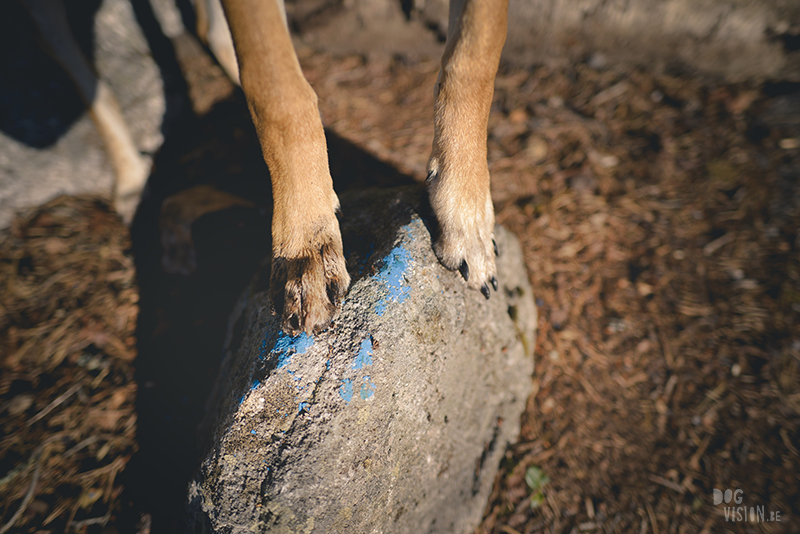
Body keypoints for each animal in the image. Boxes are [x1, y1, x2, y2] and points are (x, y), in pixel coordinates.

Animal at [23, 0, 506, 336]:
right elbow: (278, 91)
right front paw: (306, 245)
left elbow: (475, 59)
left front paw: (464, 212)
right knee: (69, 59)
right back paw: (130, 180)